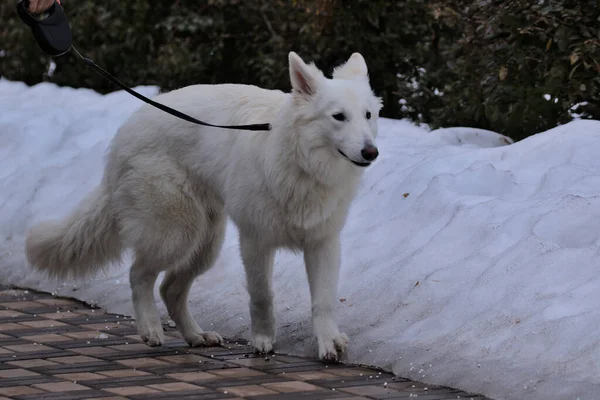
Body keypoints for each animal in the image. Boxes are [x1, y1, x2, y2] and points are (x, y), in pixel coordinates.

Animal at [25, 51, 382, 360]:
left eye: (367, 115)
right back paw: (151, 329)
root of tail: (124, 135)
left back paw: (195, 335)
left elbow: (323, 301)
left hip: (205, 242)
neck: (302, 164)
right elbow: (262, 295)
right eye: (338, 117)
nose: (371, 152)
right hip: (176, 233)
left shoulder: (322, 244)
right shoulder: (255, 242)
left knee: (170, 288)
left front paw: (328, 343)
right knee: (139, 275)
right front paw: (262, 341)